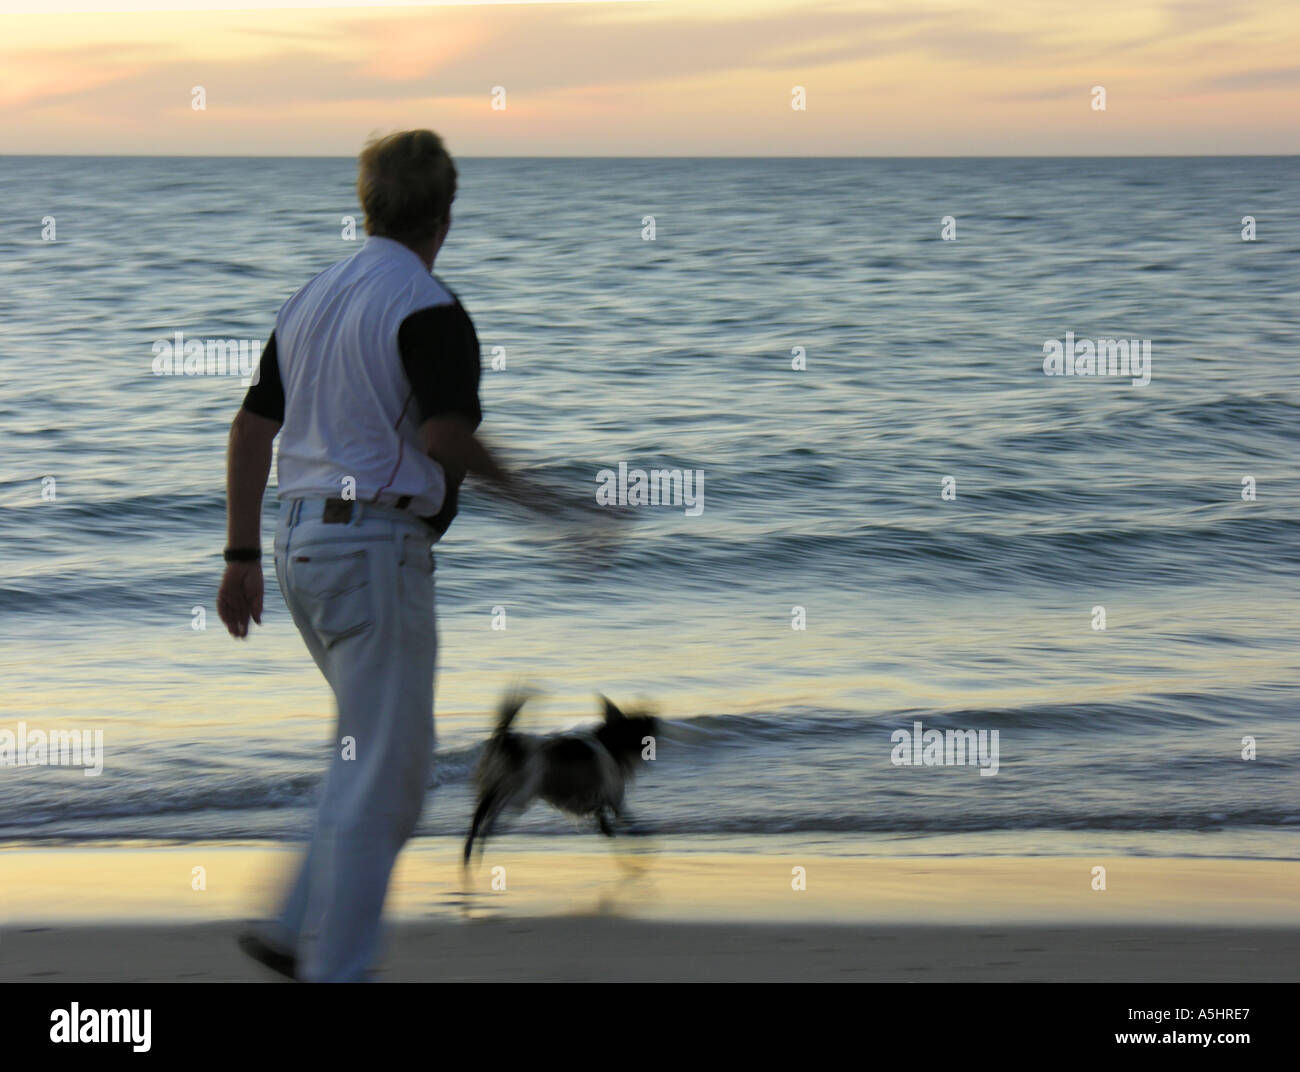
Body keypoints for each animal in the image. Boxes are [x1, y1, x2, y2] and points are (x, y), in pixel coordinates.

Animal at [462, 691, 655, 867]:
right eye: (639, 724)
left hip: (496, 789)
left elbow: (605, 820)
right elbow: (626, 819)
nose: (654, 719)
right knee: (491, 817)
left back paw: (470, 854)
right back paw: (484, 837)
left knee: (478, 819)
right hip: (519, 792)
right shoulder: (614, 799)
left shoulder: (604, 801)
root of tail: (506, 739)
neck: (609, 743)